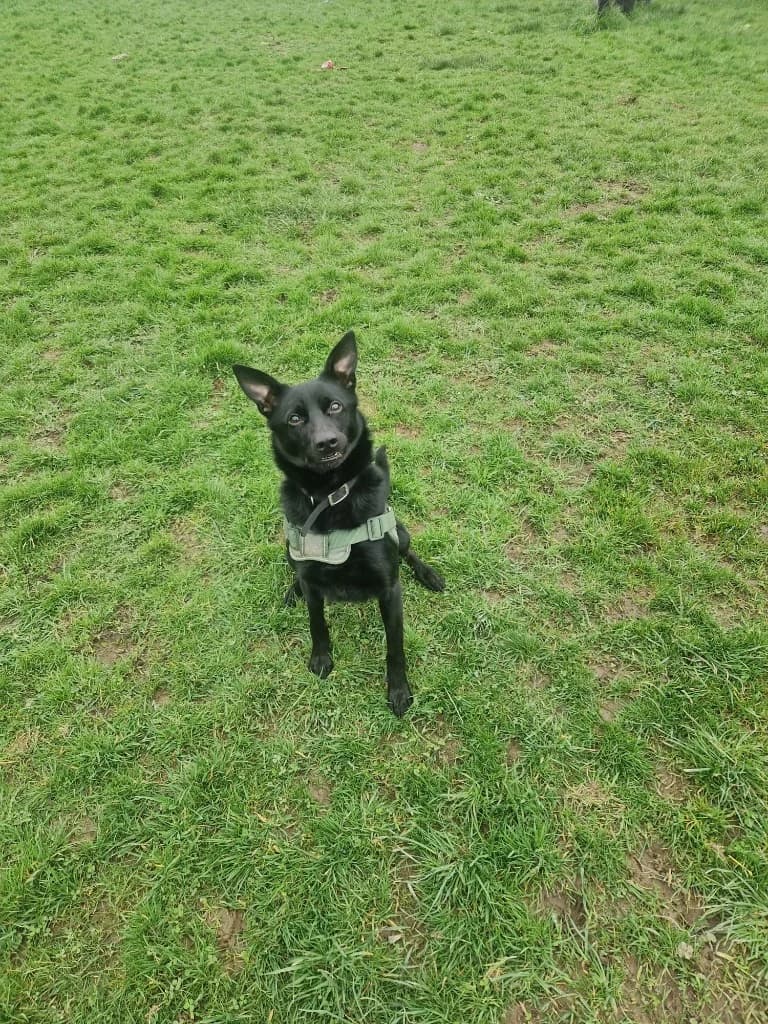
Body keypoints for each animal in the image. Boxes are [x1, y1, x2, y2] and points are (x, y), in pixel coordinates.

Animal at [233, 331, 444, 716]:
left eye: (334, 407)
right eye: (294, 419)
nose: (327, 443)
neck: (330, 496)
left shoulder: (390, 590)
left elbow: (395, 648)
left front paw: (398, 690)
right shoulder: (312, 577)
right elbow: (317, 623)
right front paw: (320, 659)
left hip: (400, 532)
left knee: (409, 552)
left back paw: (429, 574)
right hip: (288, 549)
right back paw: (293, 591)